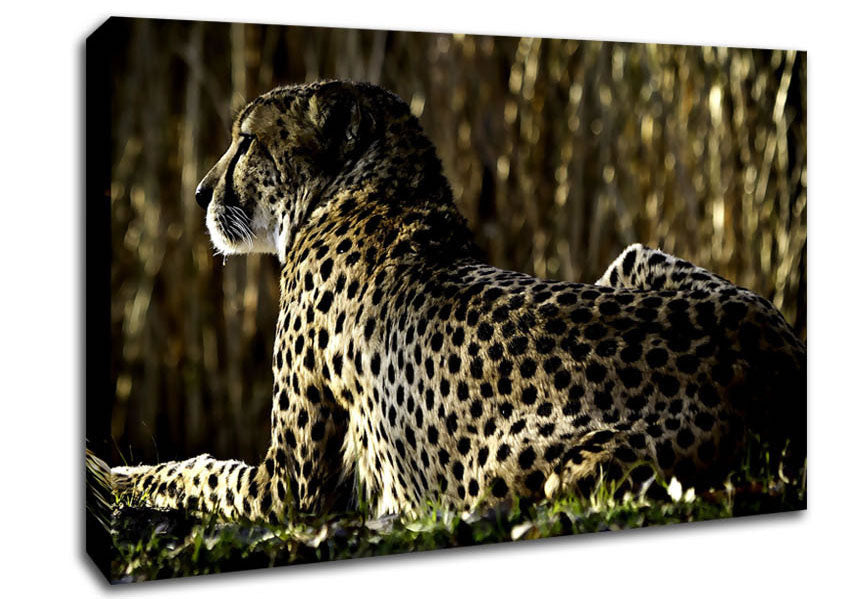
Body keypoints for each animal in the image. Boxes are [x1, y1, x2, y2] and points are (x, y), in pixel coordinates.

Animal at [112, 80, 806, 522]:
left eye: (248, 141)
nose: (199, 194)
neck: (366, 189)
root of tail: (773, 369)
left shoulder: (289, 486)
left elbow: (198, 470)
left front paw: (118, 476)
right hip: (637, 258)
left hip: (537, 469)